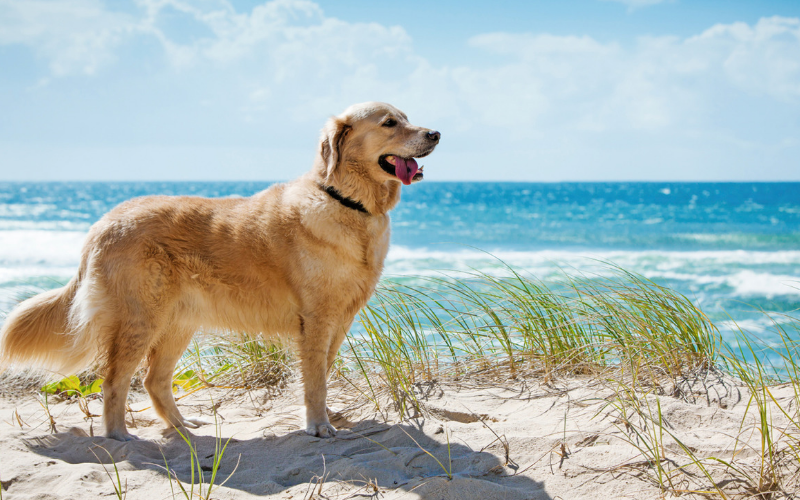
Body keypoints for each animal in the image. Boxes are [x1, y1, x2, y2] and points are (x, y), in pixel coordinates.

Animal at [0, 102, 438, 442]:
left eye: (407, 117)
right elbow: (314, 379)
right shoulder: (316, 319)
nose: (435, 133)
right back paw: (120, 435)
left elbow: (323, 373)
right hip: (141, 318)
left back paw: (182, 427)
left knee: (153, 380)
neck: (347, 202)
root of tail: (105, 220)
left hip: (178, 321)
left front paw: (326, 416)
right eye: (389, 123)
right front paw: (317, 425)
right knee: (114, 380)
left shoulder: (340, 319)